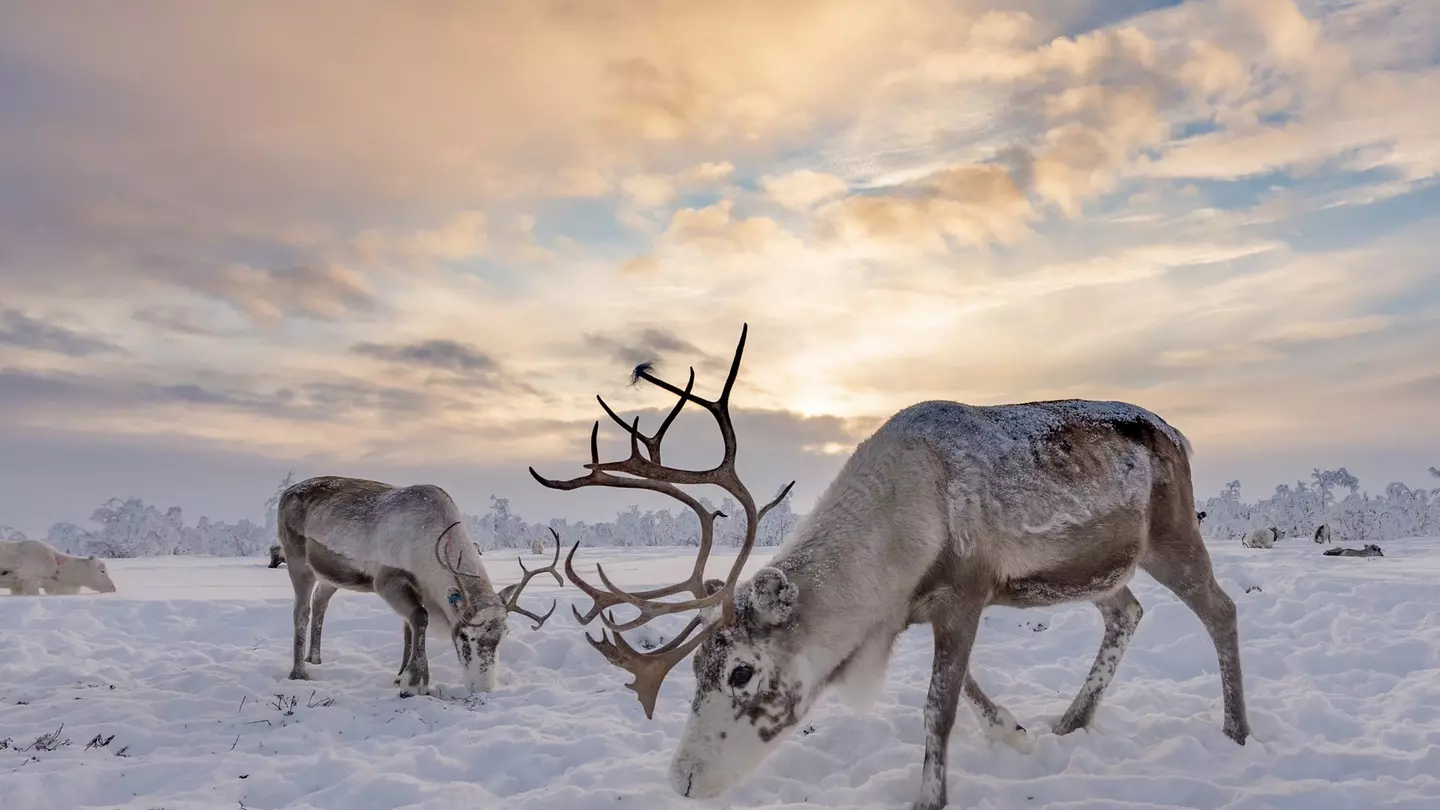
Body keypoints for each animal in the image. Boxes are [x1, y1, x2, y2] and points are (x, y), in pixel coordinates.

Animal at [277, 475, 563, 697]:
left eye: (503, 636)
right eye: (464, 636)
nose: (482, 688)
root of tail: (285, 493)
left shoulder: (420, 589)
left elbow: (409, 628)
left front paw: (401, 675)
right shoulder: (387, 580)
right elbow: (420, 618)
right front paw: (416, 682)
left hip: (332, 576)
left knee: (320, 602)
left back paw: (315, 658)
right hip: (297, 560)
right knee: (301, 611)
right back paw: (298, 672)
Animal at [530, 324, 1251, 810]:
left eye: (740, 670)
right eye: (696, 669)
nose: (683, 779)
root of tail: (1179, 433)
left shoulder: (965, 592)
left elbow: (938, 707)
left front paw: (930, 798)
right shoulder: (913, 608)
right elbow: (967, 692)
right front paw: (1017, 733)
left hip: (1172, 535)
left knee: (1221, 608)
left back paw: (1236, 730)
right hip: (1099, 568)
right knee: (1126, 611)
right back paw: (1071, 722)